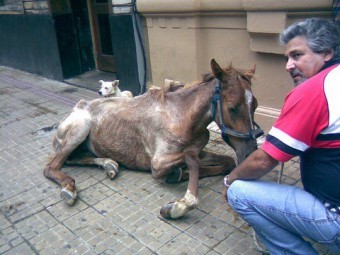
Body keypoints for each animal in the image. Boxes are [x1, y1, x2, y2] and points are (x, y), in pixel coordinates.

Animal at [43, 59, 262, 219]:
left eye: (256, 105)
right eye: (233, 107)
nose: (250, 153)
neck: (181, 117)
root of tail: (77, 107)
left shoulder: (198, 150)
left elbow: (227, 162)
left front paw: (177, 176)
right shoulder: (157, 163)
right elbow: (192, 161)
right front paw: (179, 205)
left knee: (75, 158)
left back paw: (109, 165)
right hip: (80, 129)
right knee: (53, 165)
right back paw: (69, 189)